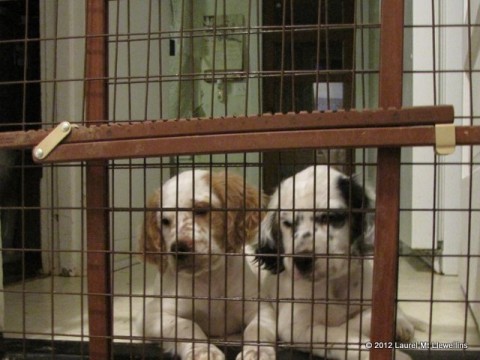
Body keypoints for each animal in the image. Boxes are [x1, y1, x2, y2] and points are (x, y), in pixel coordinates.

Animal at [137, 170, 276, 360]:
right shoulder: (153, 315)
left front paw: (257, 352)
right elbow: (186, 325)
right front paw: (203, 351)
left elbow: (257, 329)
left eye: (201, 210)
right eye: (165, 221)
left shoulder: (260, 307)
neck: (209, 277)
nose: (178, 248)